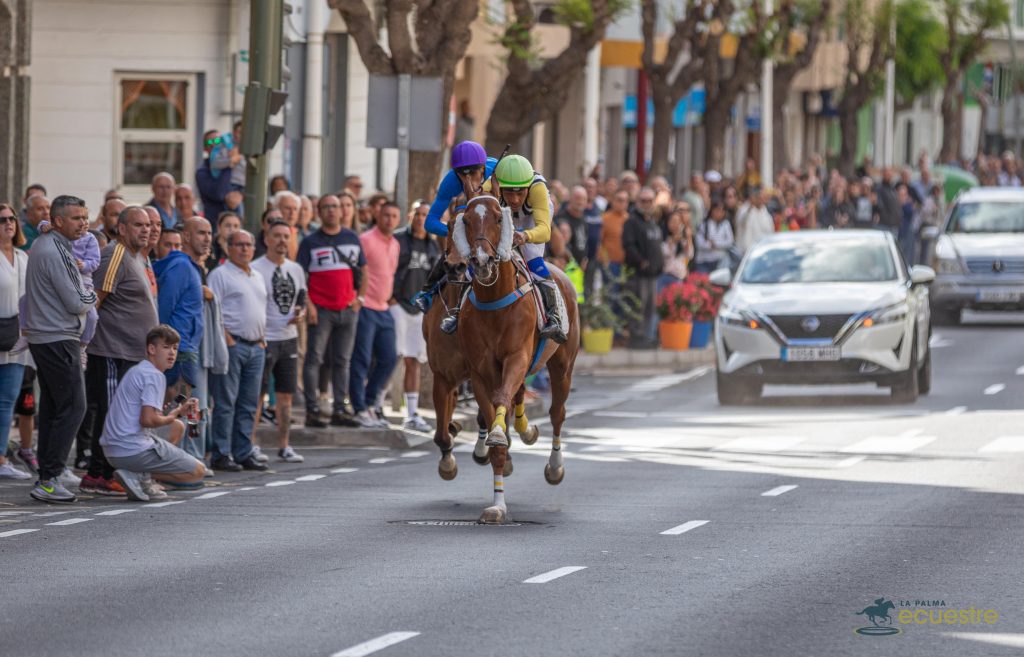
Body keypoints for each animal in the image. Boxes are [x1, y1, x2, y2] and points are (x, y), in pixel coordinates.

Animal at [452, 192, 581, 519]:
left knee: (557, 413)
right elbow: (495, 416)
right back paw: (526, 431)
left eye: (499, 218)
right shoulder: (481, 370)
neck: (494, 299)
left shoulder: (516, 357)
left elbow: (502, 400)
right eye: (466, 220)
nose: (481, 261)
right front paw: (497, 504)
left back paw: (555, 466)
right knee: (519, 396)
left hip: (562, 366)